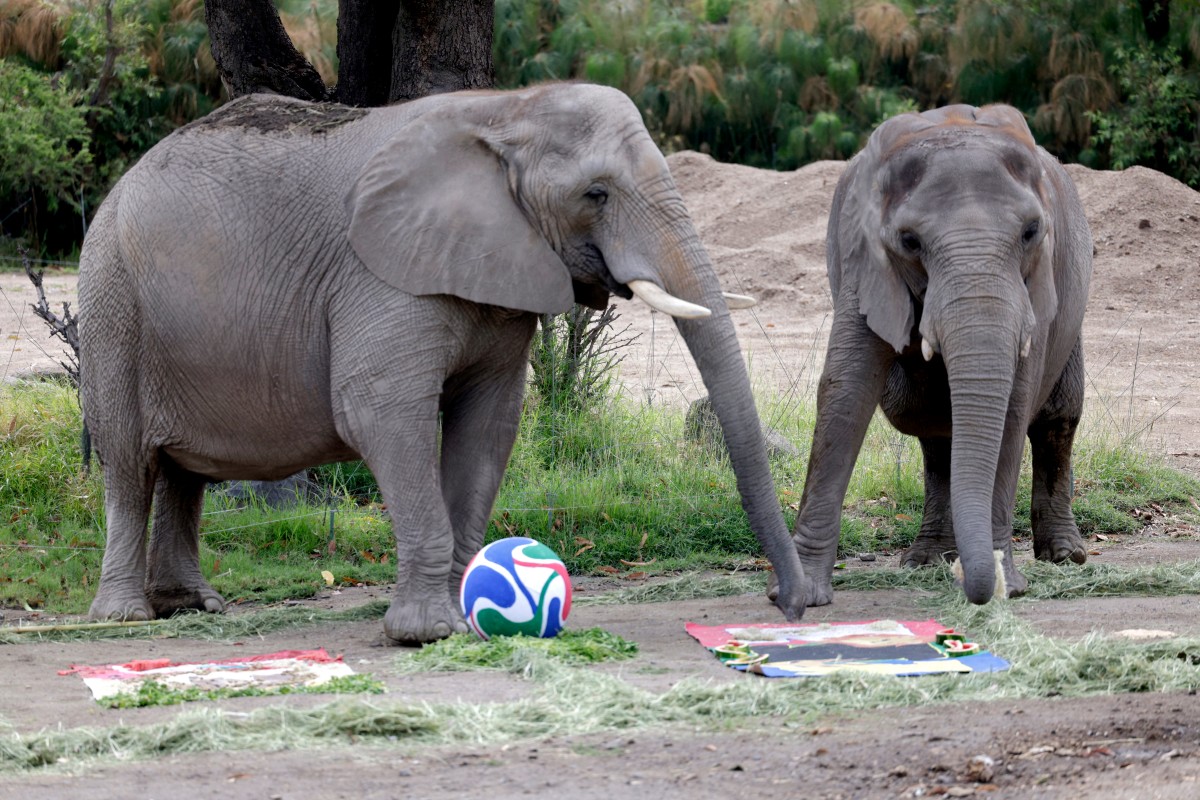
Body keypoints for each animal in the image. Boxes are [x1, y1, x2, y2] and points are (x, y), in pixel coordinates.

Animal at [77, 83, 809, 643]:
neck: (505, 109)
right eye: (596, 194)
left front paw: (467, 619)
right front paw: (425, 634)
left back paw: (193, 606)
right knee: (131, 461)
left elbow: (489, 423)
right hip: (113, 301)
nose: (786, 602)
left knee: (183, 472)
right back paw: (123, 617)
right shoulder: (381, 272)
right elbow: (379, 412)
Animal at [780, 104, 1092, 608]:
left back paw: (1064, 555)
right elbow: (846, 390)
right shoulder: (864, 261)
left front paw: (1007, 585)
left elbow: (1013, 407)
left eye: (1031, 233)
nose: (979, 586)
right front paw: (801, 592)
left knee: (1057, 420)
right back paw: (929, 559)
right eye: (909, 242)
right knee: (932, 426)